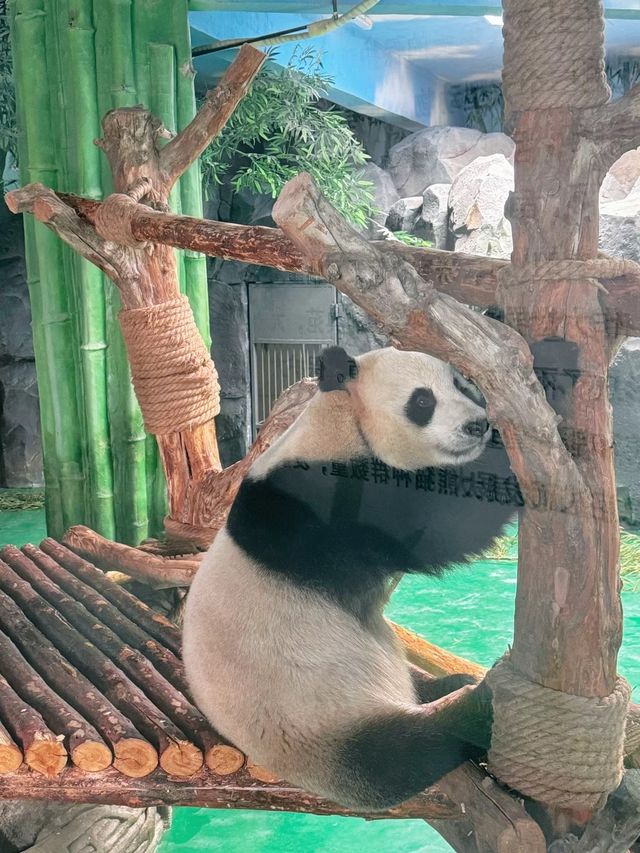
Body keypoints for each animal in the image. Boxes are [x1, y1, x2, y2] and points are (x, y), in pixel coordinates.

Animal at [182, 344, 524, 804]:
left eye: (461, 384)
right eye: (422, 402)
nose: (477, 425)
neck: (344, 418)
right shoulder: (320, 507)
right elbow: (439, 526)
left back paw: (454, 683)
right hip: (315, 724)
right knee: (397, 755)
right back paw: (476, 706)